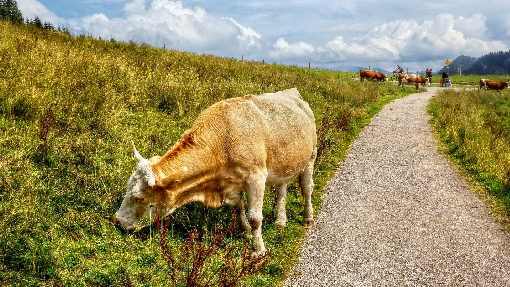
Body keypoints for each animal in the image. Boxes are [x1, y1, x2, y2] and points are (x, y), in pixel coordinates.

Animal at [113, 88, 316, 256]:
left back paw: (308, 217)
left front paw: (258, 250)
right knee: (282, 190)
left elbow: (255, 217)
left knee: (307, 189)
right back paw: (281, 221)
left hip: (310, 158)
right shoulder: (230, 183)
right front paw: (246, 232)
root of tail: (293, 92)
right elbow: (238, 207)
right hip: (285, 163)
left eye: (139, 197)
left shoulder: (256, 177)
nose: (117, 222)